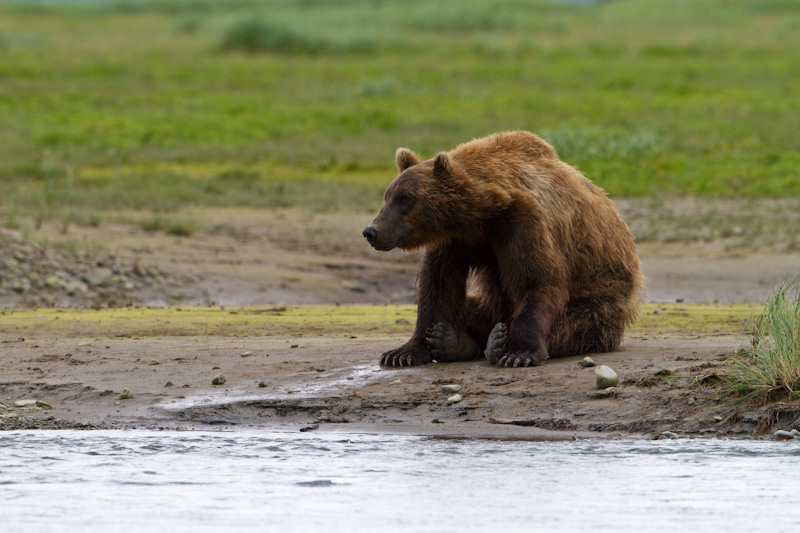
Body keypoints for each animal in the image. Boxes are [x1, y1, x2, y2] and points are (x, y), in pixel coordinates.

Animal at [362, 131, 644, 368]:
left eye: (405, 198)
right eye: (388, 196)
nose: (371, 231)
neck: (485, 212)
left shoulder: (523, 223)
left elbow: (537, 281)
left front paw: (518, 353)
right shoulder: (459, 236)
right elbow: (439, 284)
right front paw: (403, 352)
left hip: (603, 295)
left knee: (575, 320)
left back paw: (494, 341)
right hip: (494, 302)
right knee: (472, 309)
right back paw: (451, 340)